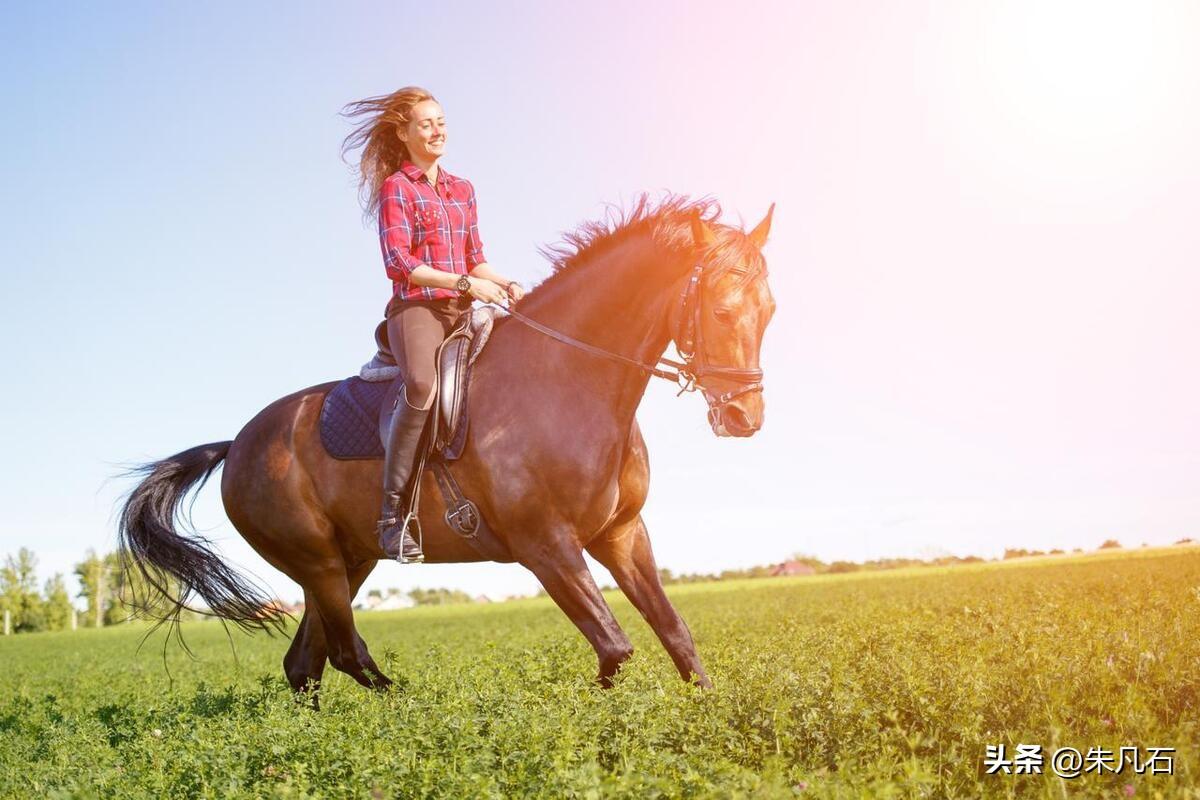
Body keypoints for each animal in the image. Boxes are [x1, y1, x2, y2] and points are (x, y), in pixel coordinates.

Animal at [119, 196, 777, 705]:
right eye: (721, 310)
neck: (569, 379)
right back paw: (414, 714)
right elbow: (616, 648)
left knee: (305, 664)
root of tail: (238, 444)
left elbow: (675, 632)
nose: (745, 418)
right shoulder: (546, 546)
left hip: (348, 563)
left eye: (769, 311)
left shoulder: (621, 534)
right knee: (348, 655)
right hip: (318, 563)